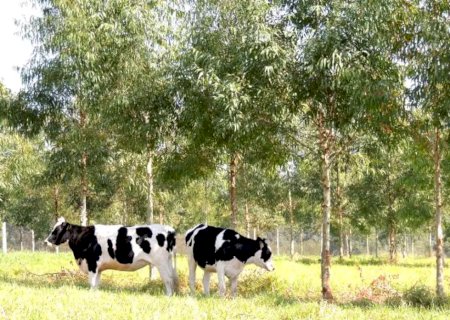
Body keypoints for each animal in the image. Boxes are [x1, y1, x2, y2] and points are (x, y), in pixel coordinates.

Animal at [45, 216, 178, 296]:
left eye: (55, 231)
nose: (46, 242)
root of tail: (169, 229)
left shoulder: (92, 263)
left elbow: (91, 282)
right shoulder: (98, 268)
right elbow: (96, 283)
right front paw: (95, 294)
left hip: (161, 262)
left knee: (167, 278)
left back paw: (168, 296)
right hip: (168, 261)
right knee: (172, 277)